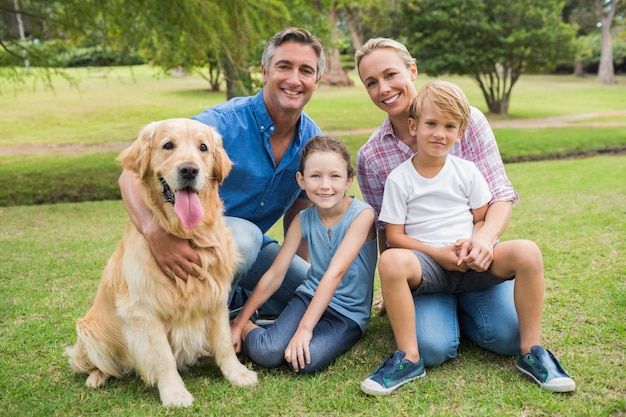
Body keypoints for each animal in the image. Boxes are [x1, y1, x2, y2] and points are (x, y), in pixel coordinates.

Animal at [66, 117, 256, 406]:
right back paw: (96, 377)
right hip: (89, 332)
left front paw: (237, 373)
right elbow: (162, 357)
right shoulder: (144, 310)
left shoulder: (215, 296)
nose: (189, 170)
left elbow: (224, 342)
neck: (187, 234)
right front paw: (174, 393)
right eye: (168, 145)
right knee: (99, 365)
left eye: (203, 147)